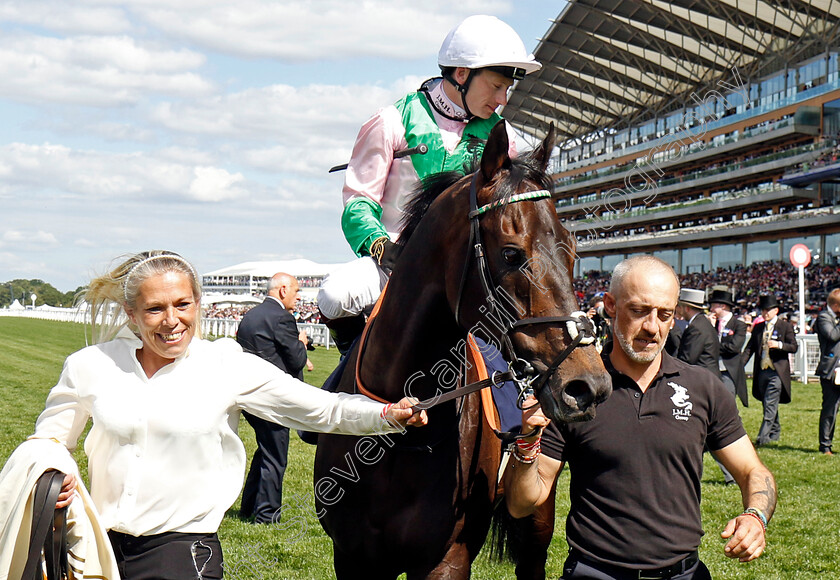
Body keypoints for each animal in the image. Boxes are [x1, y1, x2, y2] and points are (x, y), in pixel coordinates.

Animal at [310, 120, 612, 576]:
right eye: (512, 253)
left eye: (573, 251)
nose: (589, 385)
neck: (402, 435)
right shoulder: (351, 556)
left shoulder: (447, 559)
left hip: (538, 512)